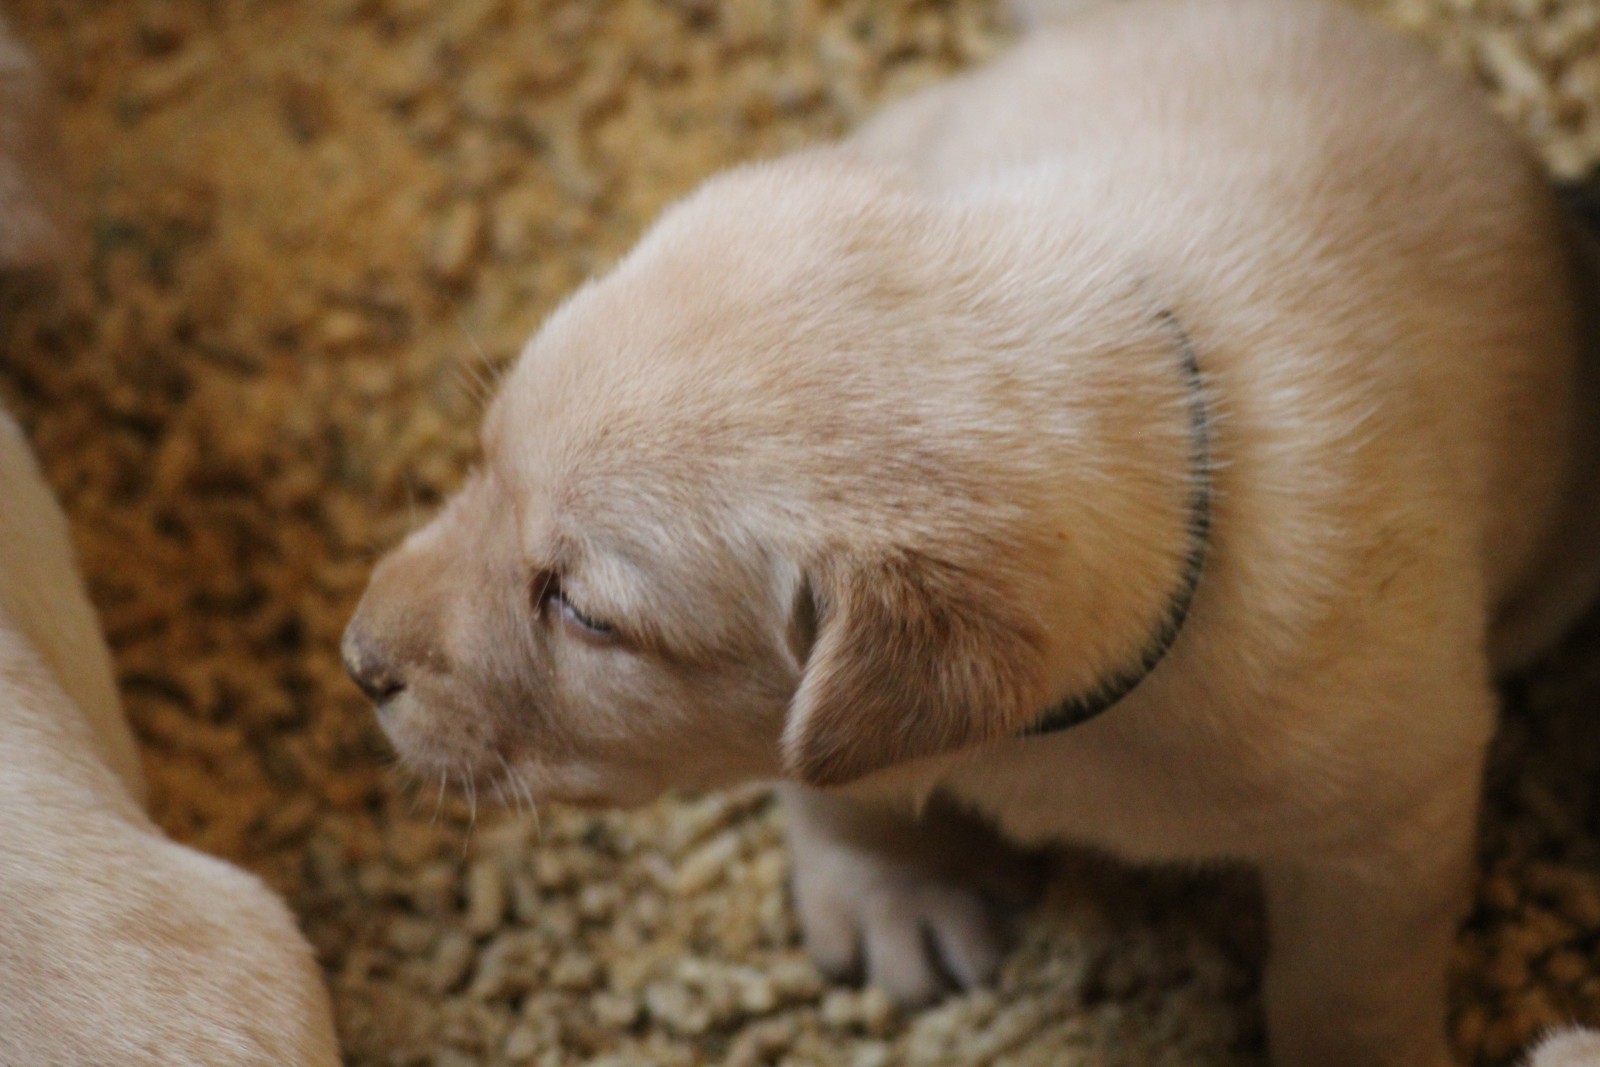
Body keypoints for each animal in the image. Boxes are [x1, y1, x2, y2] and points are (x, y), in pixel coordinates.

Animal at [343, 0, 1600, 1063]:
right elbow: (827, 780)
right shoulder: (815, 728)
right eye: (480, 460)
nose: (357, 660)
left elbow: (1349, 982)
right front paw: (887, 891)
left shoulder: (1392, 810)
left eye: (583, 612)